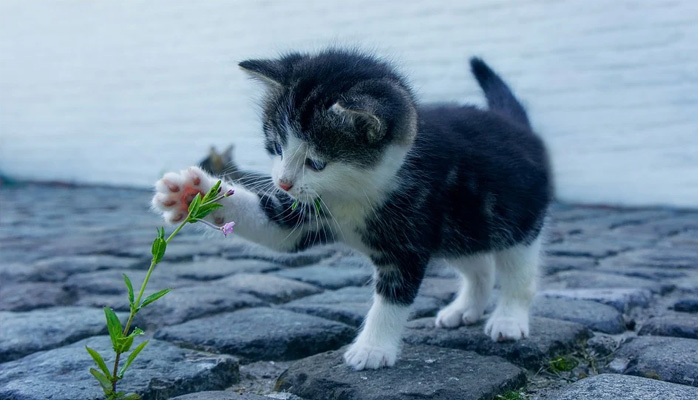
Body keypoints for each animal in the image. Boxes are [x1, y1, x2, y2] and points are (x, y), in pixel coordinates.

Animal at [151, 48, 548, 370]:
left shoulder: (410, 234)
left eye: (316, 162)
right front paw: (191, 193)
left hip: (515, 219)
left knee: (517, 271)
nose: (283, 182)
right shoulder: (307, 213)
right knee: (479, 264)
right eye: (276, 147)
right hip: (461, 229)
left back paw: (508, 319)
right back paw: (465, 308)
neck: (355, 192)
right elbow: (275, 228)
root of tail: (517, 126)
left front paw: (372, 349)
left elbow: (393, 297)